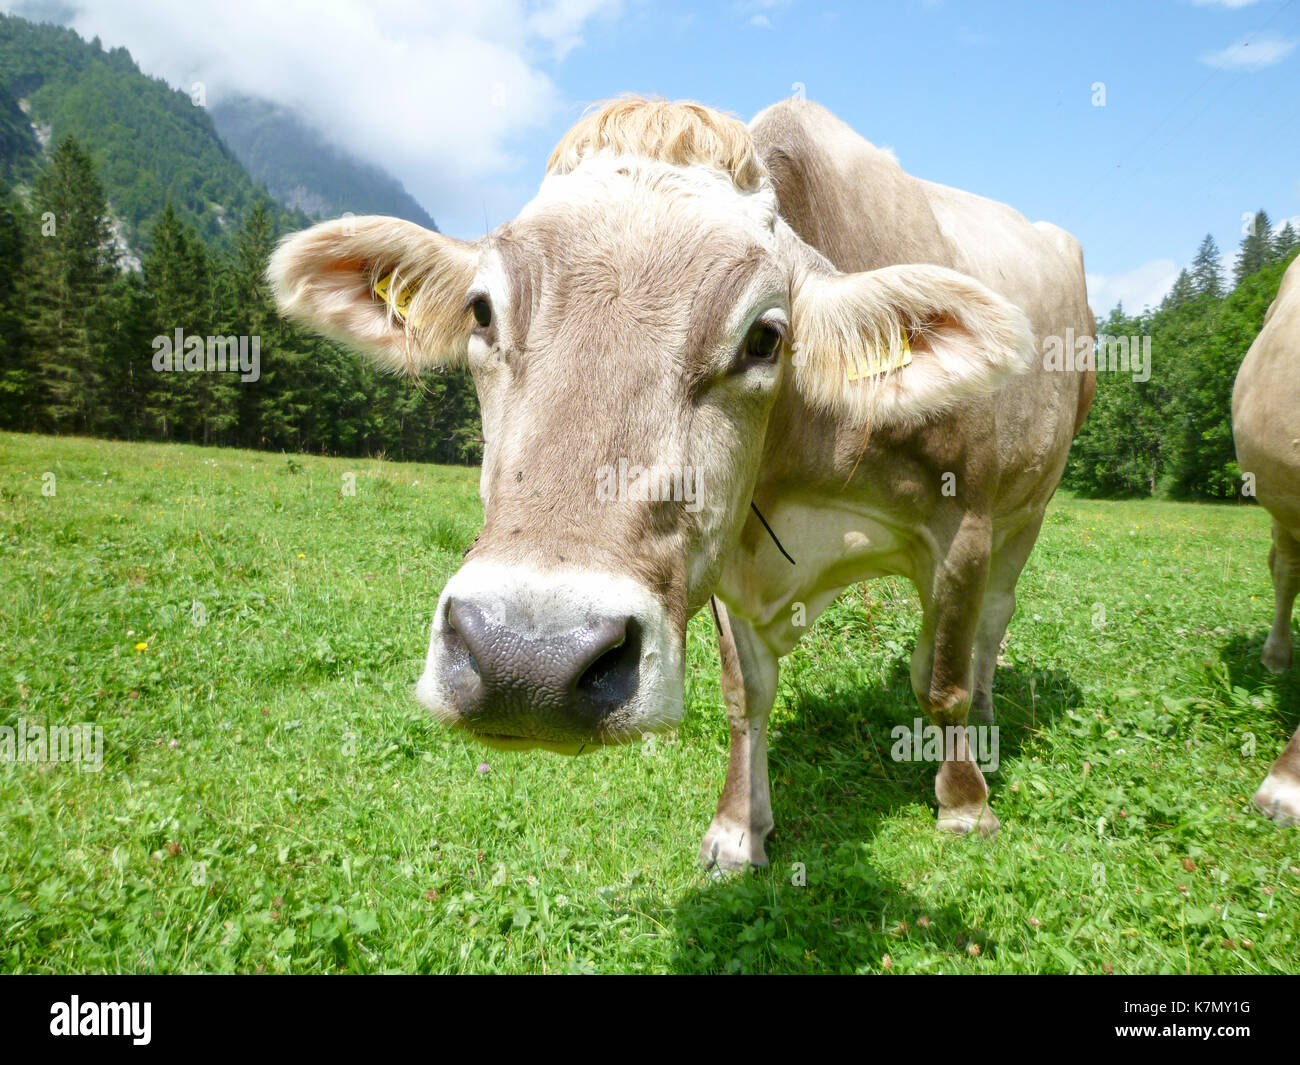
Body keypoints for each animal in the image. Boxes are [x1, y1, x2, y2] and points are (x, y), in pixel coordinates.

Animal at [269, 97, 1093, 870]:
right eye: (480, 311)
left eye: (766, 336)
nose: (526, 659)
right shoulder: (724, 554)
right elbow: (745, 694)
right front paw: (738, 830)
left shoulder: (963, 525)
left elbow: (941, 681)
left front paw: (964, 806)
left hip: (1029, 510)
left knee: (990, 627)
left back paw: (983, 724)